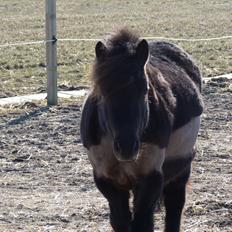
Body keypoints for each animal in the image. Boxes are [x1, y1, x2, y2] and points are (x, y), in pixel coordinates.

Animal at [80, 29, 203, 232]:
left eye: (145, 90)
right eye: (103, 93)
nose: (127, 147)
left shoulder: (150, 178)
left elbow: (142, 223)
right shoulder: (106, 179)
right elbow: (121, 221)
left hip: (182, 167)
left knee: (175, 204)